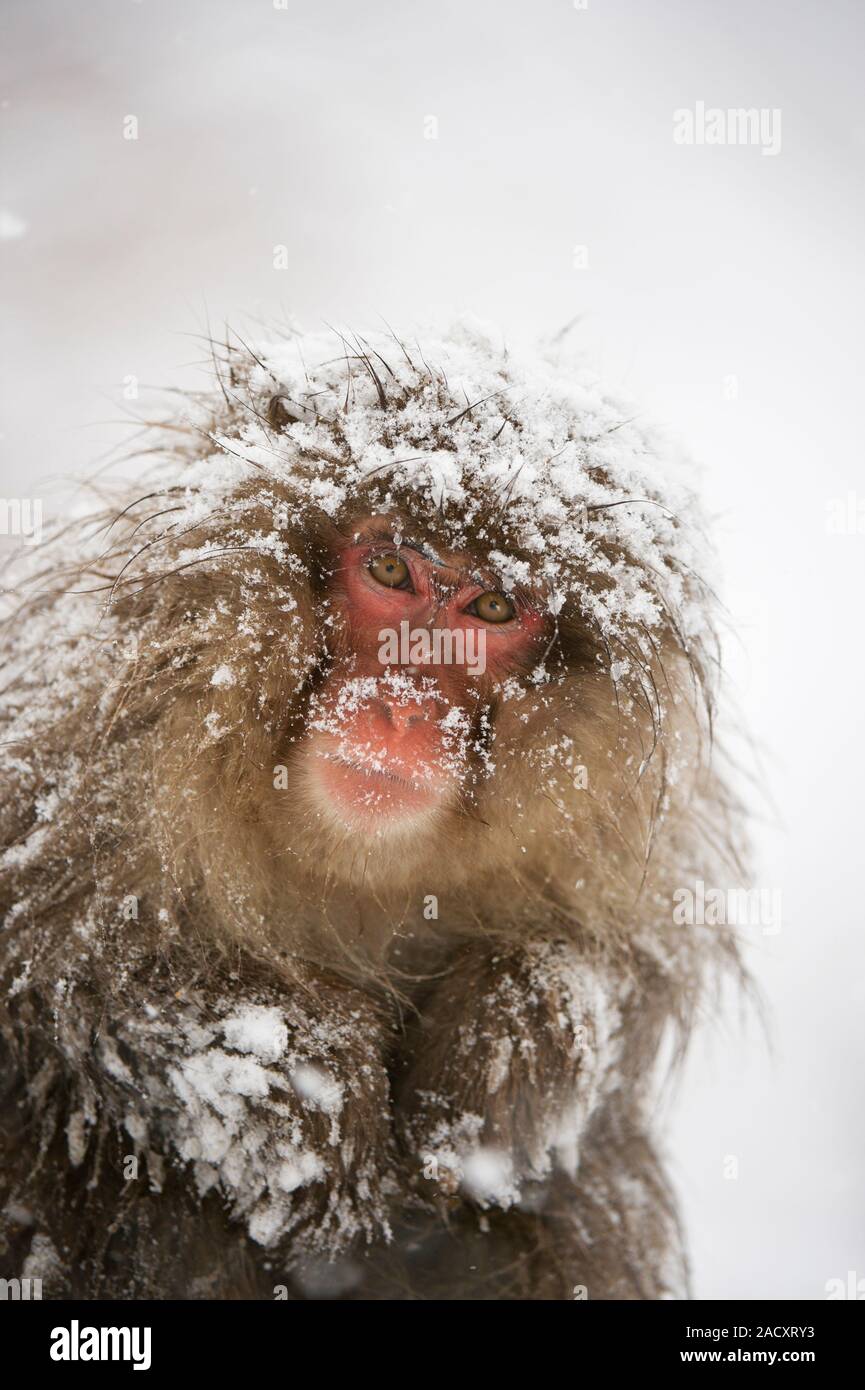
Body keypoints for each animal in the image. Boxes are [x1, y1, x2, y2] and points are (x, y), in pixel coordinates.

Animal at [0, 320, 744, 1300]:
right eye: (390, 569)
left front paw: (511, 1042)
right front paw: (300, 1068)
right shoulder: (90, 763)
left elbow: (618, 970)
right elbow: (74, 973)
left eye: (492, 607)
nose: (400, 703)